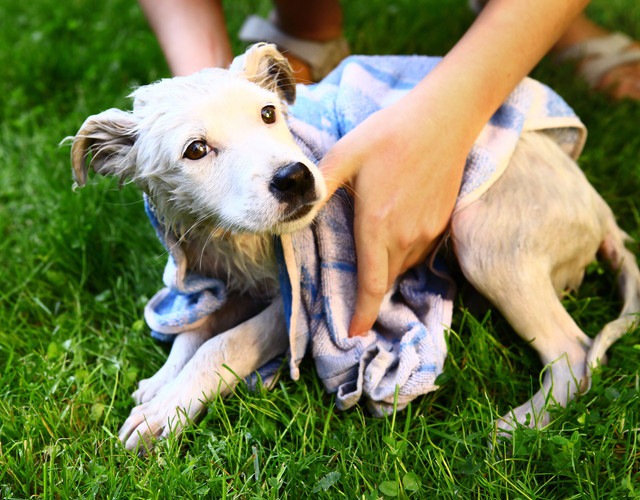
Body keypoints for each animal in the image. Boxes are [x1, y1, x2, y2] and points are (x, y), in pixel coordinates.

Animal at [70, 44, 640, 454]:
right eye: (195, 150)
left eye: (269, 114)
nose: (295, 178)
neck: (233, 239)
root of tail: (600, 210)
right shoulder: (224, 278)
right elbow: (194, 330)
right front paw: (161, 385)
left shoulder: (297, 308)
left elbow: (222, 345)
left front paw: (166, 412)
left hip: (483, 238)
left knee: (573, 352)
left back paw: (522, 424)